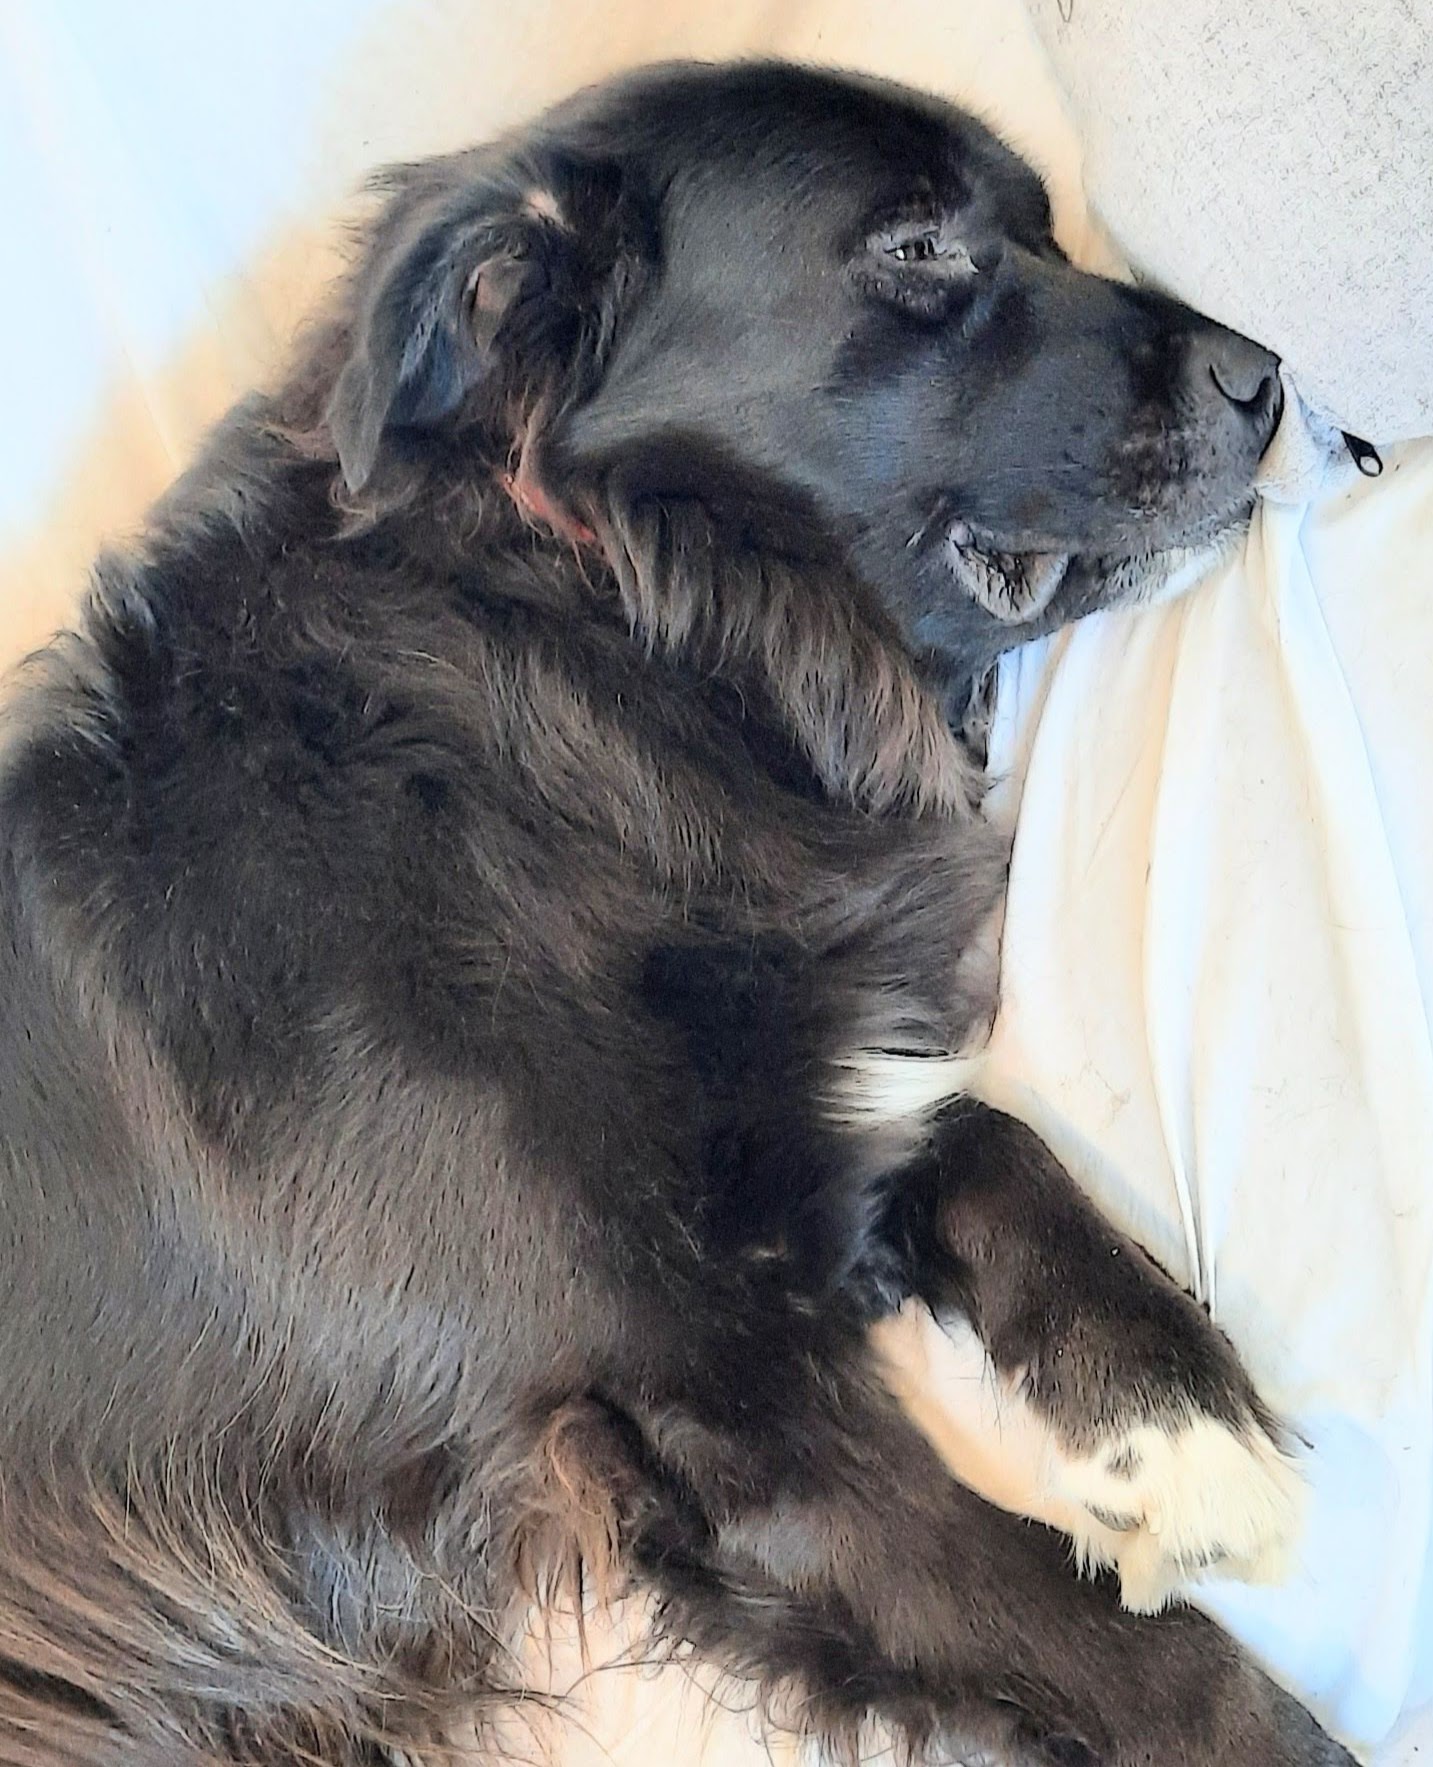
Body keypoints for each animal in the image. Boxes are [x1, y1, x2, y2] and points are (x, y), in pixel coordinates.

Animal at [0, 59, 1349, 1767]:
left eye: (1045, 225)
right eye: (918, 246)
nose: (1267, 376)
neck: (617, 642)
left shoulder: (801, 1122)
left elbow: (993, 1138)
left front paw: (1173, 1419)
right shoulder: (726, 1425)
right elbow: (1161, 1668)